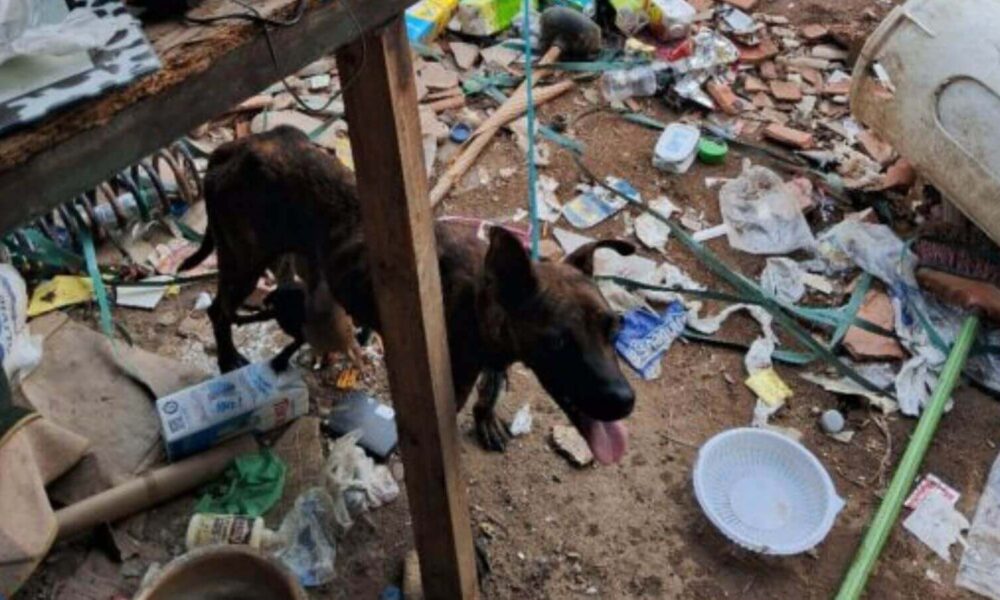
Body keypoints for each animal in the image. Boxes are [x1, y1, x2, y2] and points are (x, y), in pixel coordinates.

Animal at [179, 126, 632, 464]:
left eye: (616, 328)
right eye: (557, 342)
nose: (625, 401)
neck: (479, 300)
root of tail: (236, 146)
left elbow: (492, 386)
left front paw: (486, 416)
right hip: (242, 262)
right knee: (219, 312)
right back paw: (228, 359)